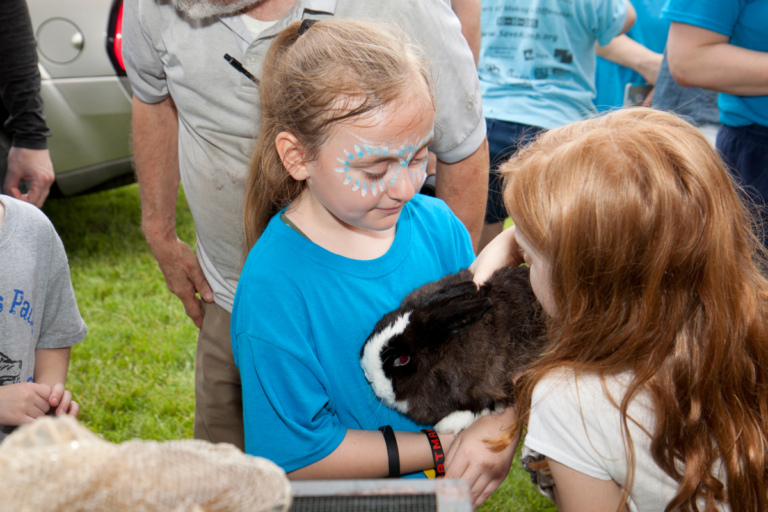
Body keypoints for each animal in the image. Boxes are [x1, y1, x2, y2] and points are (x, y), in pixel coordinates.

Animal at [360, 266, 544, 434]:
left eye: (402, 359)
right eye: (384, 320)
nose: (368, 376)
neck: (438, 359)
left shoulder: (496, 386)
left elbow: (484, 406)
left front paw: (447, 425)